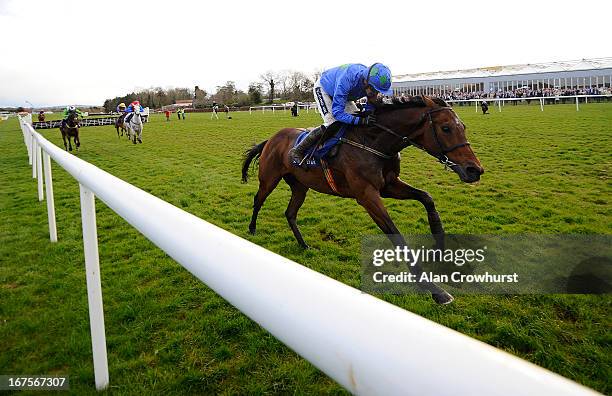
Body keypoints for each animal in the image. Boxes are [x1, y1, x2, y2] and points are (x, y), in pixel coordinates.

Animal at [241, 95, 486, 304]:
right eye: (446, 128)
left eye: (463, 127)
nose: (474, 170)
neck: (374, 142)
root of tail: (272, 138)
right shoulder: (367, 196)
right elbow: (397, 236)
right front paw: (436, 290)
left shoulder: (389, 185)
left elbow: (427, 198)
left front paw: (440, 248)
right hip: (269, 179)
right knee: (258, 200)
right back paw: (252, 229)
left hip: (301, 186)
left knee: (290, 213)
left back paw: (303, 245)